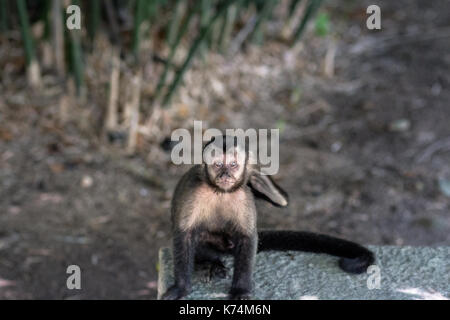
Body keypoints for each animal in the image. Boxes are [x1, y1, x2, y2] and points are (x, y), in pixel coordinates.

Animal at [161, 135, 372, 300]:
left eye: (233, 165)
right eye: (218, 164)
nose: (225, 175)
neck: (221, 191)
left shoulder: (244, 196)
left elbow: (247, 237)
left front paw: (240, 289)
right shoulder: (193, 192)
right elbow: (184, 235)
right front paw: (181, 288)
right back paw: (212, 263)